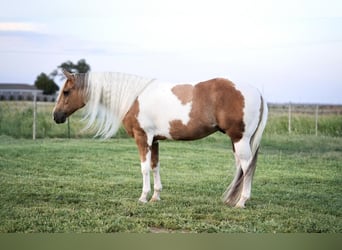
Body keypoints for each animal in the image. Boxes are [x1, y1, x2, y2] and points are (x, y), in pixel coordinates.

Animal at [53, 69, 268, 208]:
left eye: (66, 92)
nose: (56, 116)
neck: (133, 97)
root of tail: (258, 92)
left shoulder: (142, 138)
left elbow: (144, 168)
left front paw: (143, 197)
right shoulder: (154, 140)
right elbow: (155, 166)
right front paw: (156, 197)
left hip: (240, 139)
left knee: (247, 167)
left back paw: (241, 202)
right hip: (236, 141)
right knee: (241, 167)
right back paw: (233, 199)